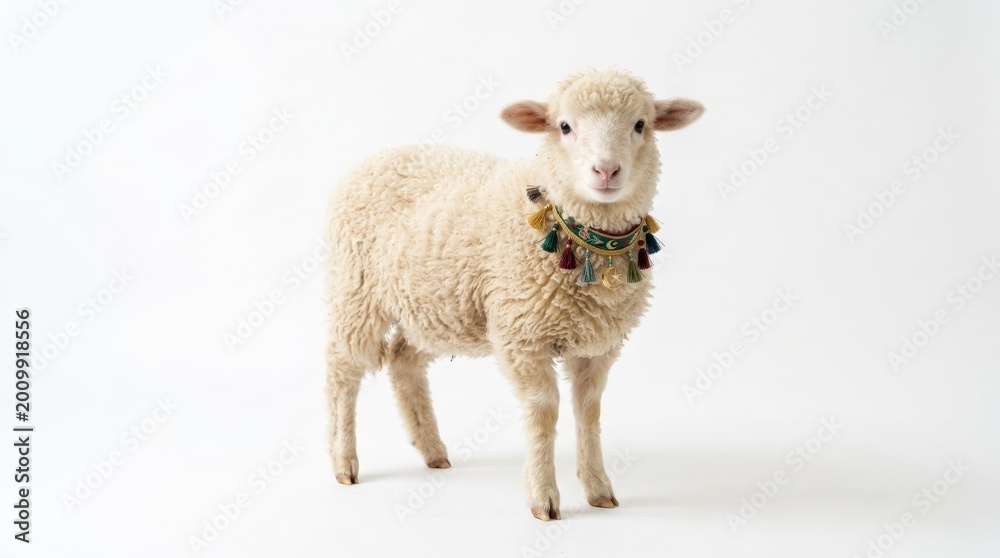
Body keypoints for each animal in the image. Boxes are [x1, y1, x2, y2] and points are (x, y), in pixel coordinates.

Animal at [326, 68, 703, 520]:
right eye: (564, 126)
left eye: (640, 125)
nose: (606, 171)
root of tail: (379, 157)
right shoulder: (522, 335)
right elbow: (543, 411)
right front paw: (543, 499)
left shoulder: (598, 344)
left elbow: (589, 410)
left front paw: (598, 489)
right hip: (356, 291)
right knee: (342, 370)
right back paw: (344, 462)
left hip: (433, 306)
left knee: (403, 361)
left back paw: (433, 451)